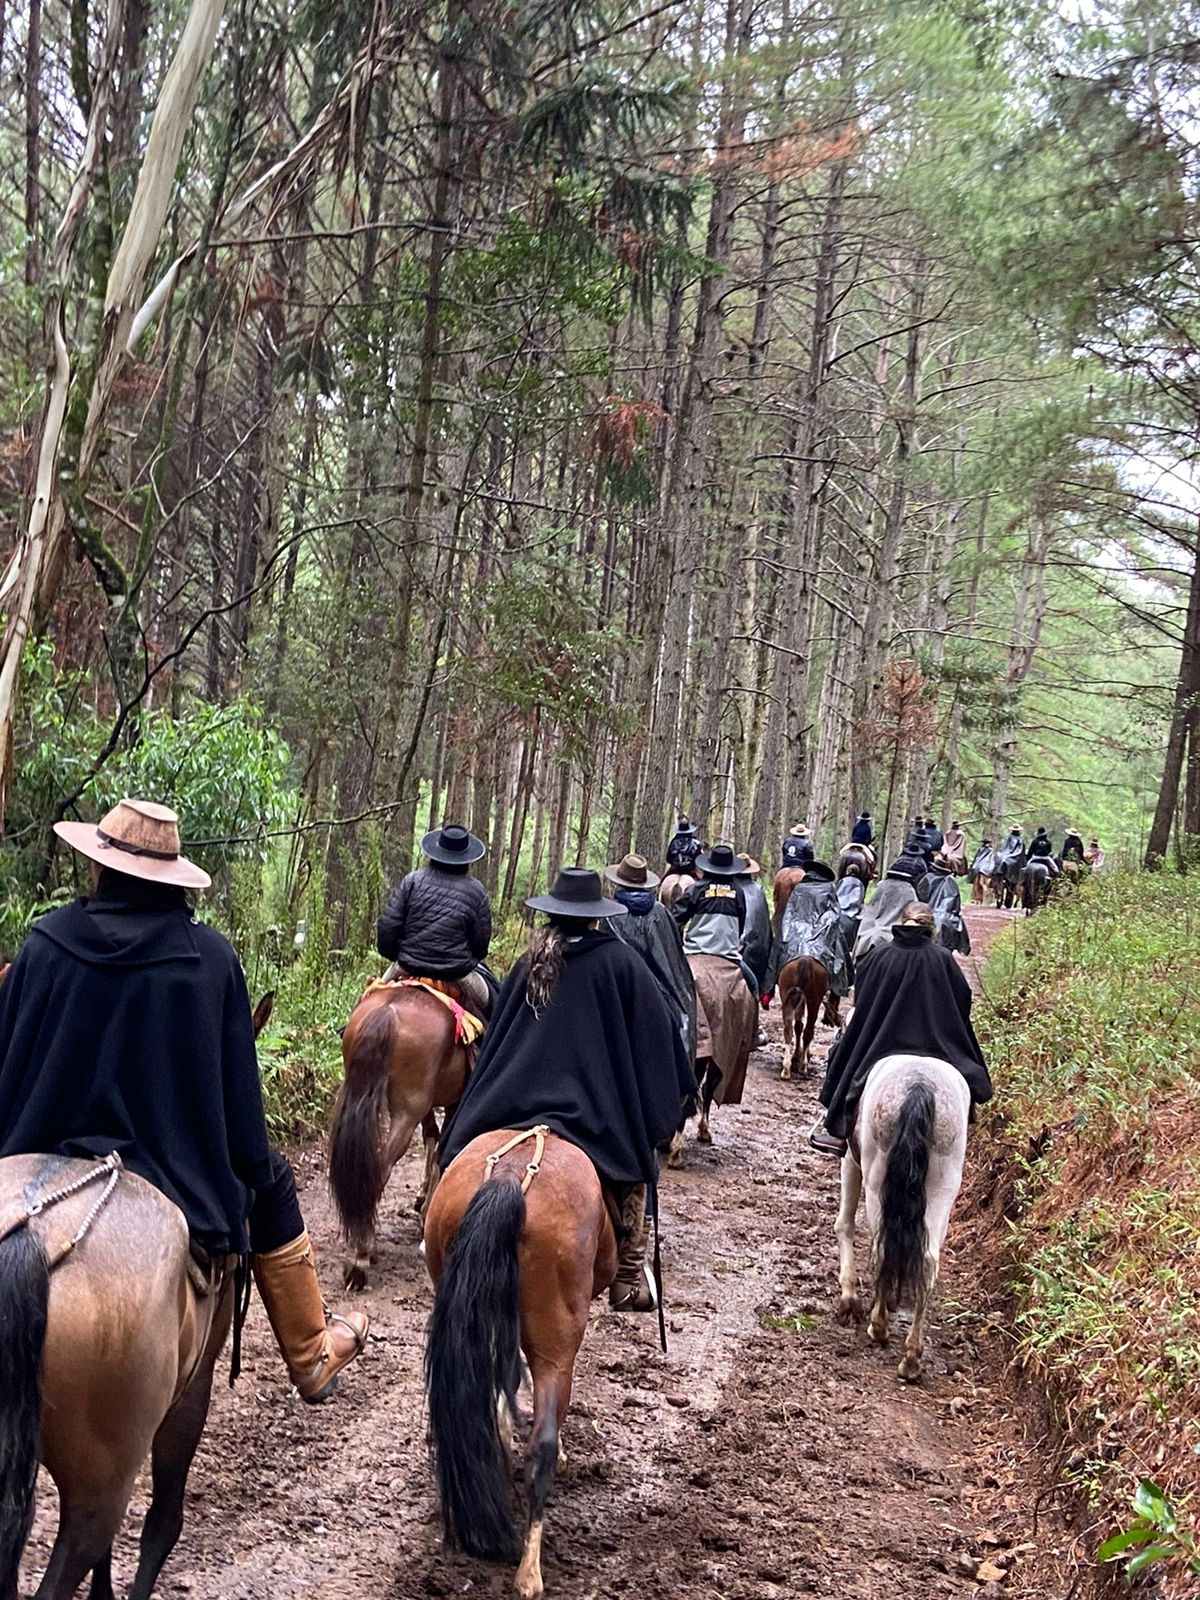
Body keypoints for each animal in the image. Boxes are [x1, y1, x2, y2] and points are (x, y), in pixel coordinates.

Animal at [336, 985, 476, 1286]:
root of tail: (387, 1011)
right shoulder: (453, 1100)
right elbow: (443, 1145)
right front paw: (427, 1208)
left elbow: (433, 1137)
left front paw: (424, 1198)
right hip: (407, 1110)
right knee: (382, 1166)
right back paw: (360, 1256)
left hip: (356, 1094)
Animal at [780, 953, 838, 1081]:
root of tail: (805, 960)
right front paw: (802, 1055)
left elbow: (798, 1026)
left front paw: (796, 1054)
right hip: (814, 1000)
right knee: (808, 1032)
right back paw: (803, 1066)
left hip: (787, 994)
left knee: (788, 1030)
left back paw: (786, 1069)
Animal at [838, 1056, 979, 1382]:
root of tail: (920, 1084)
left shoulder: (850, 1160)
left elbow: (845, 1224)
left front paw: (849, 1299)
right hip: (943, 1186)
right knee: (927, 1261)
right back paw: (912, 1356)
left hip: (876, 1177)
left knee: (881, 1249)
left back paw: (878, 1327)